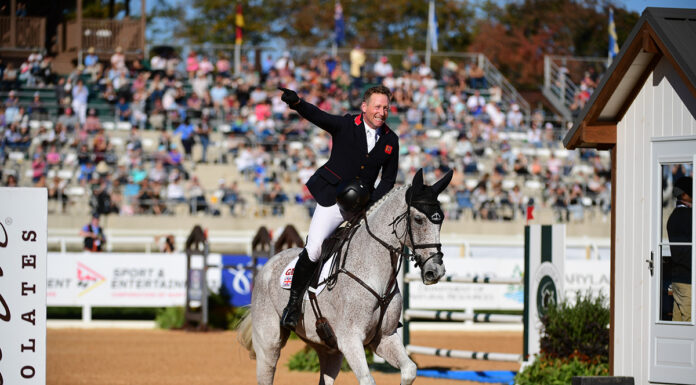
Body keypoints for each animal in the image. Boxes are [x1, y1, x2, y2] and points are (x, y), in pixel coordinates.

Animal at [238, 170, 452, 384]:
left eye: (440, 220)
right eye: (418, 219)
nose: (435, 271)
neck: (374, 271)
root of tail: (268, 263)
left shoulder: (385, 337)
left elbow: (409, 370)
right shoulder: (350, 339)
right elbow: (367, 379)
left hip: (328, 349)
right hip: (269, 343)